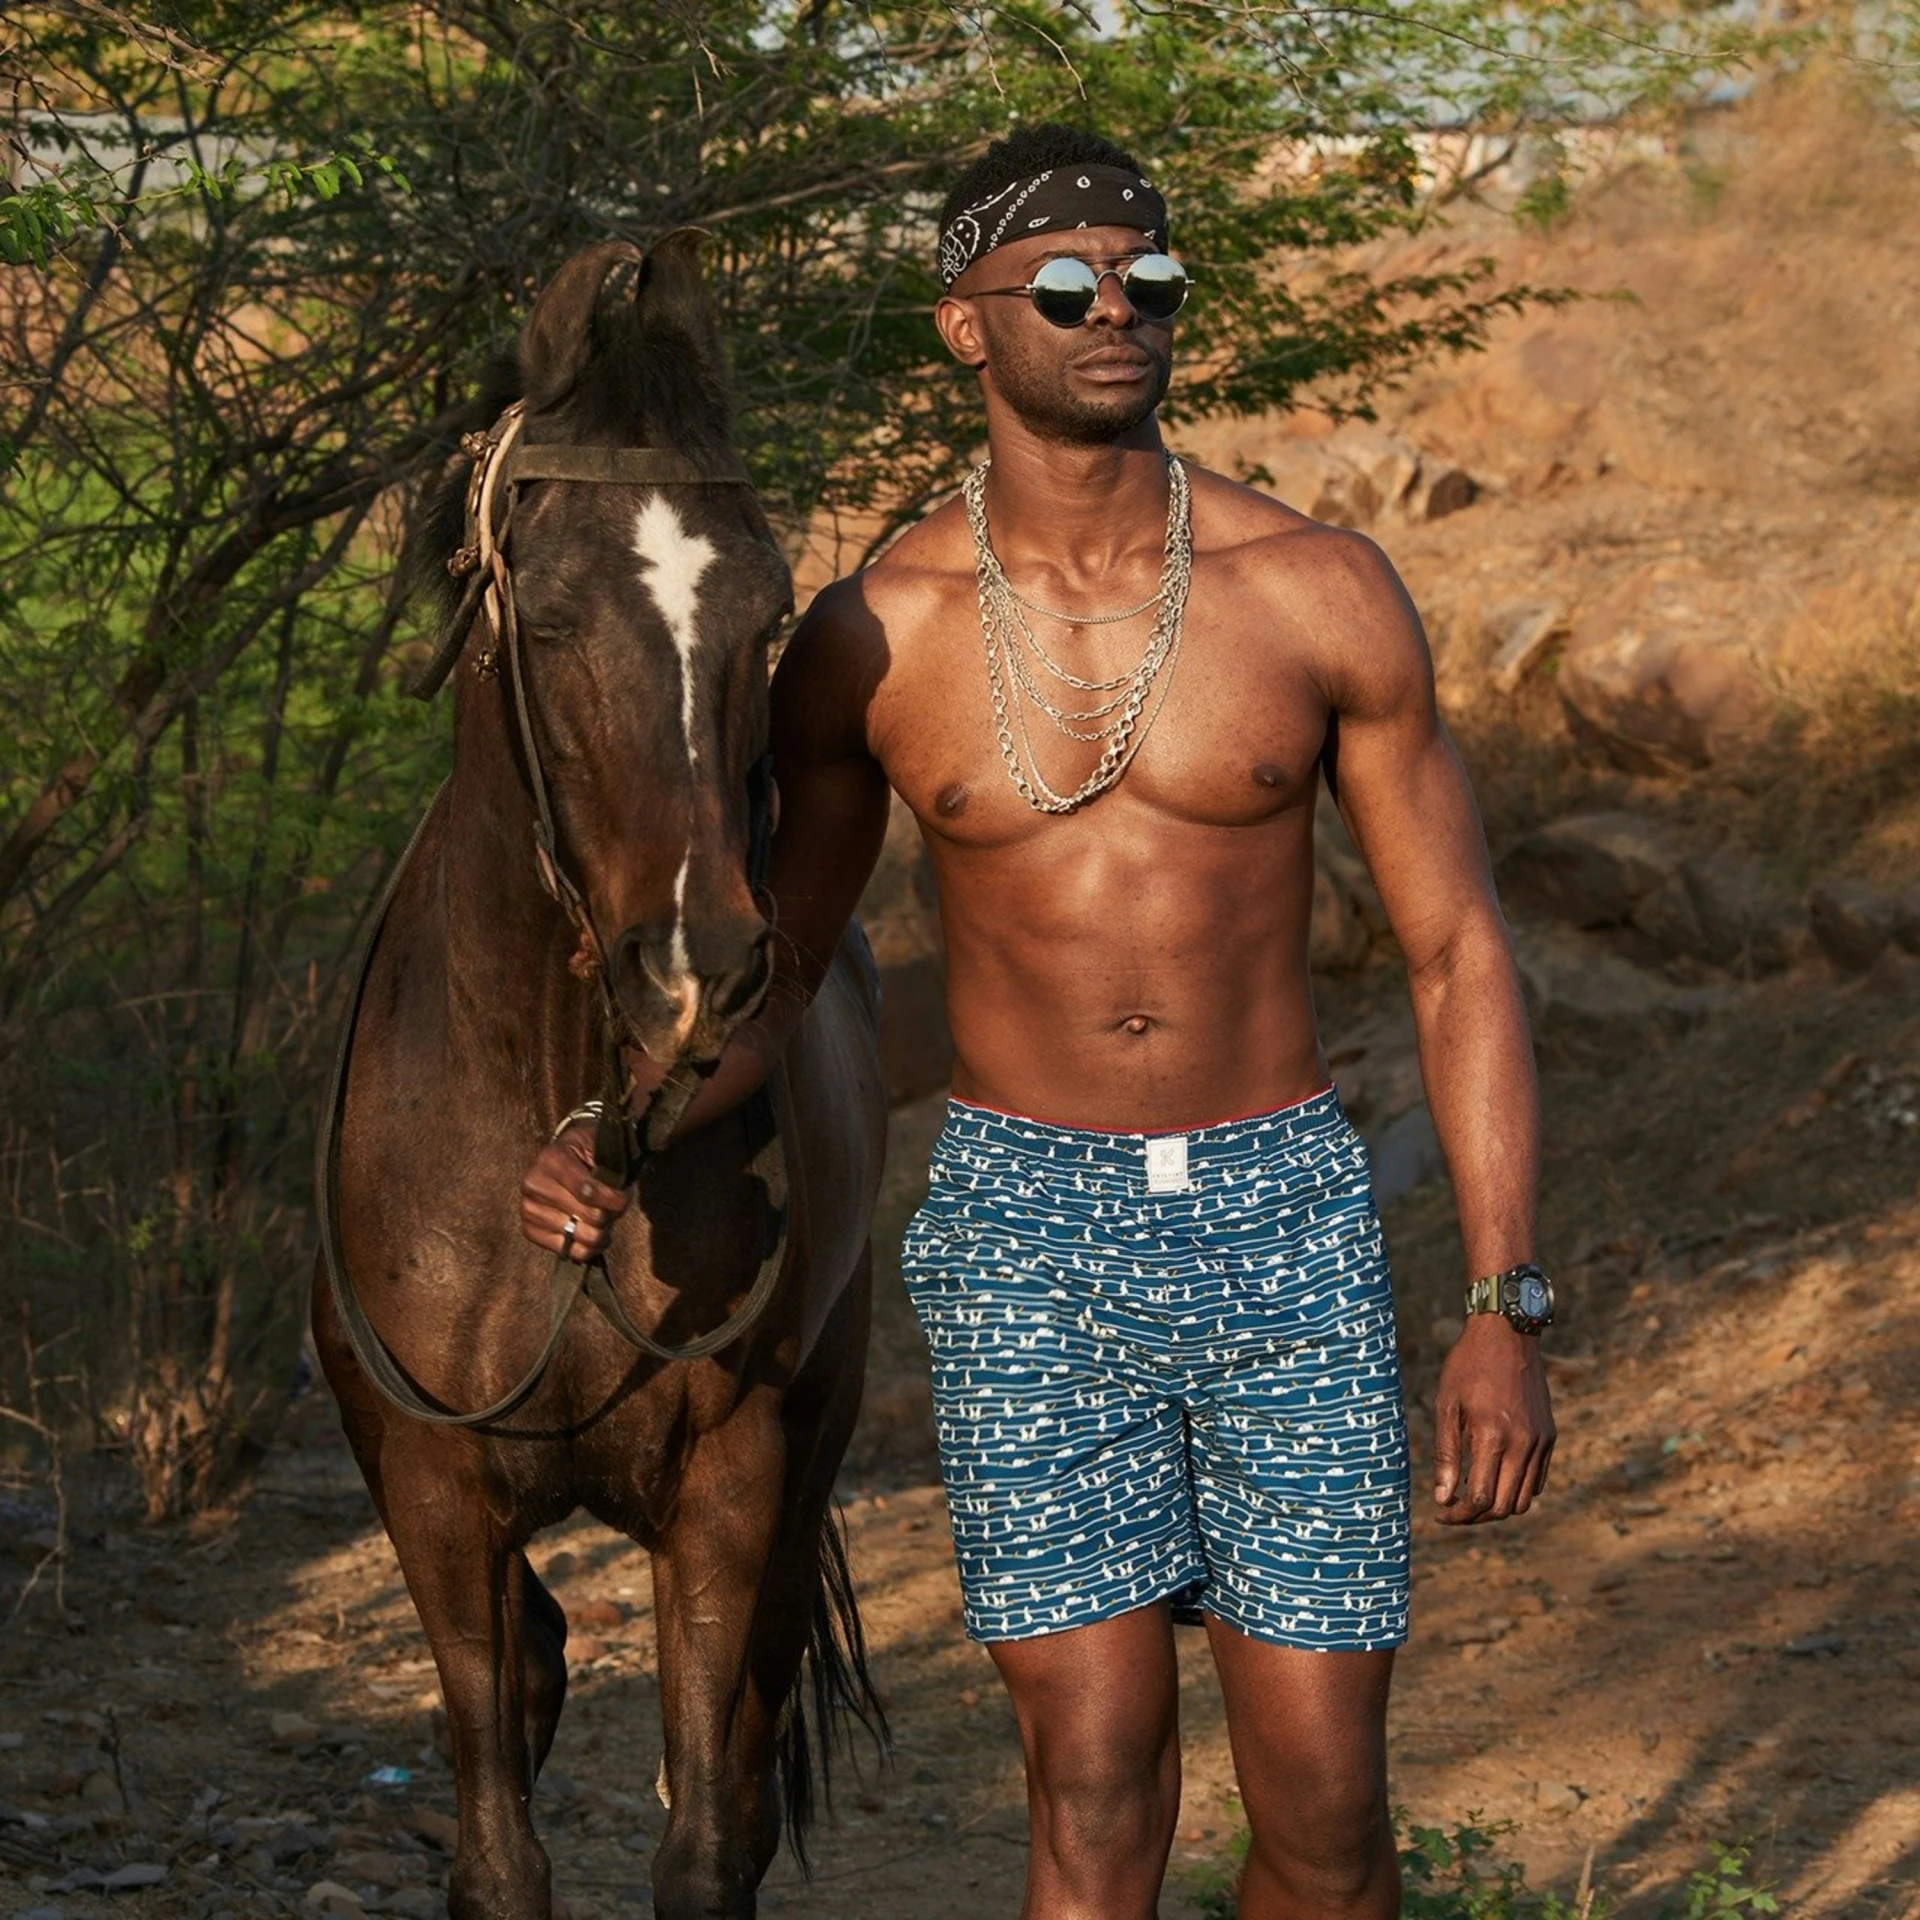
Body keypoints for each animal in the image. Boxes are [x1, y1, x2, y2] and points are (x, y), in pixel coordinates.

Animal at [311, 240, 887, 1920]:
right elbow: (499, 1846)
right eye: (553, 617)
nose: (703, 966)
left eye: (770, 615)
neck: (548, 1101)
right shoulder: (435, 1491)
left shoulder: (729, 1487)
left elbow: (705, 1844)